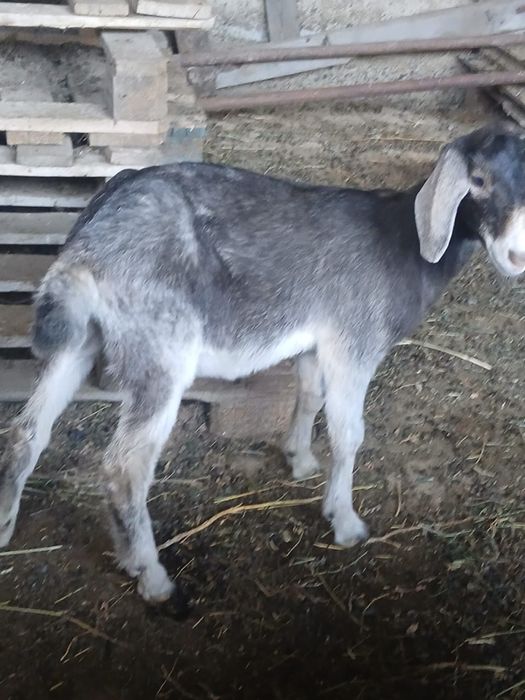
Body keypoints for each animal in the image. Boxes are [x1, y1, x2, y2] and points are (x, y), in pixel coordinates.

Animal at [1, 124, 524, 603]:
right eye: (477, 180)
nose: (516, 255)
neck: (404, 241)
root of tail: (88, 242)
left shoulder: (316, 343)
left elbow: (309, 396)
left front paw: (299, 459)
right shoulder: (353, 343)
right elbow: (348, 433)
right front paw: (345, 522)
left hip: (81, 341)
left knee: (28, 430)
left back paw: (9, 526)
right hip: (161, 353)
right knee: (124, 468)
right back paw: (152, 577)